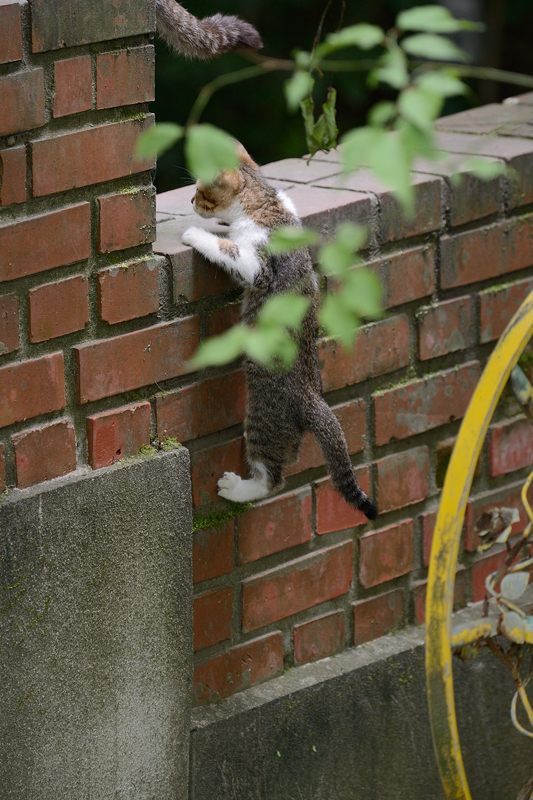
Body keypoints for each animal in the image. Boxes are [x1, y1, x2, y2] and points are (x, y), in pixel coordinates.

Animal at [181, 147, 376, 520]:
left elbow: (228, 249)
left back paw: (237, 487)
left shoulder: (256, 265)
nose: (190, 200)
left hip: (263, 421)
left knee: (273, 479)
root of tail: (312, 400)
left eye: (200, 192)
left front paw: (196, 234)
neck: (267, 204)